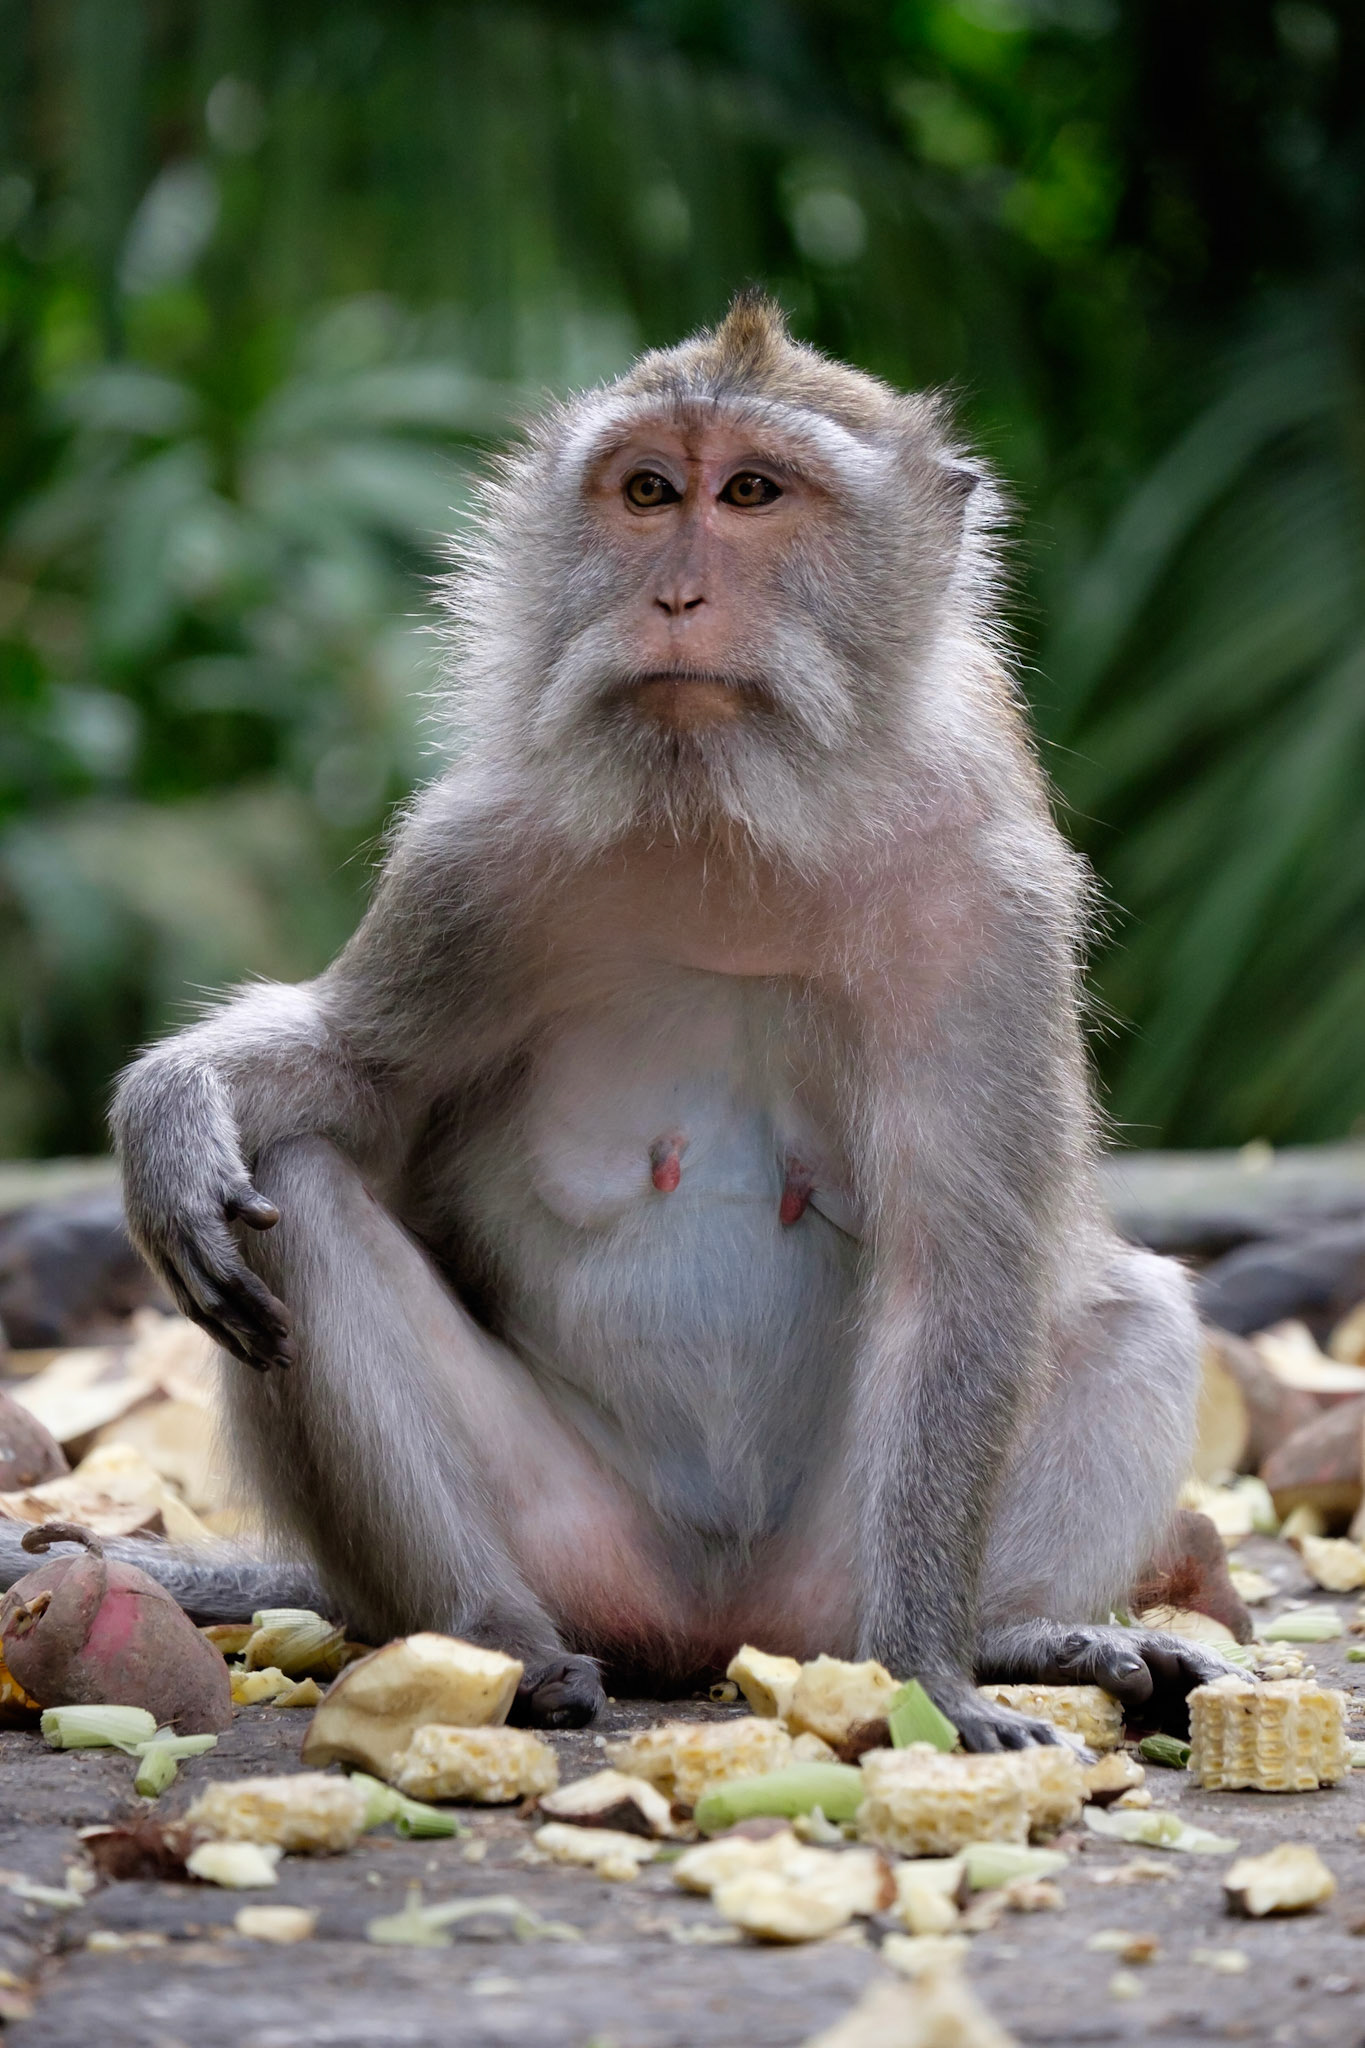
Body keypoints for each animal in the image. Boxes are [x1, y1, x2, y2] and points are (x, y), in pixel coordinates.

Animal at [6, 295, 1231, 1741]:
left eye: (752, 492)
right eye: (648, 492)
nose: (676, 595)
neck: (729, 823)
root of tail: (712, 1634)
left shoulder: (990, 908)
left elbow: (960, 1268)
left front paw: (938, 1676)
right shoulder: (475, 859)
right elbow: (354, 1080)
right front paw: (172, 1115)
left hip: (827, 1593)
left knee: (1135, 1316)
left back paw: (1014, 1633)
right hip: (584, 1547)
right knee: (292, 1194)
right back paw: (496, 1641)